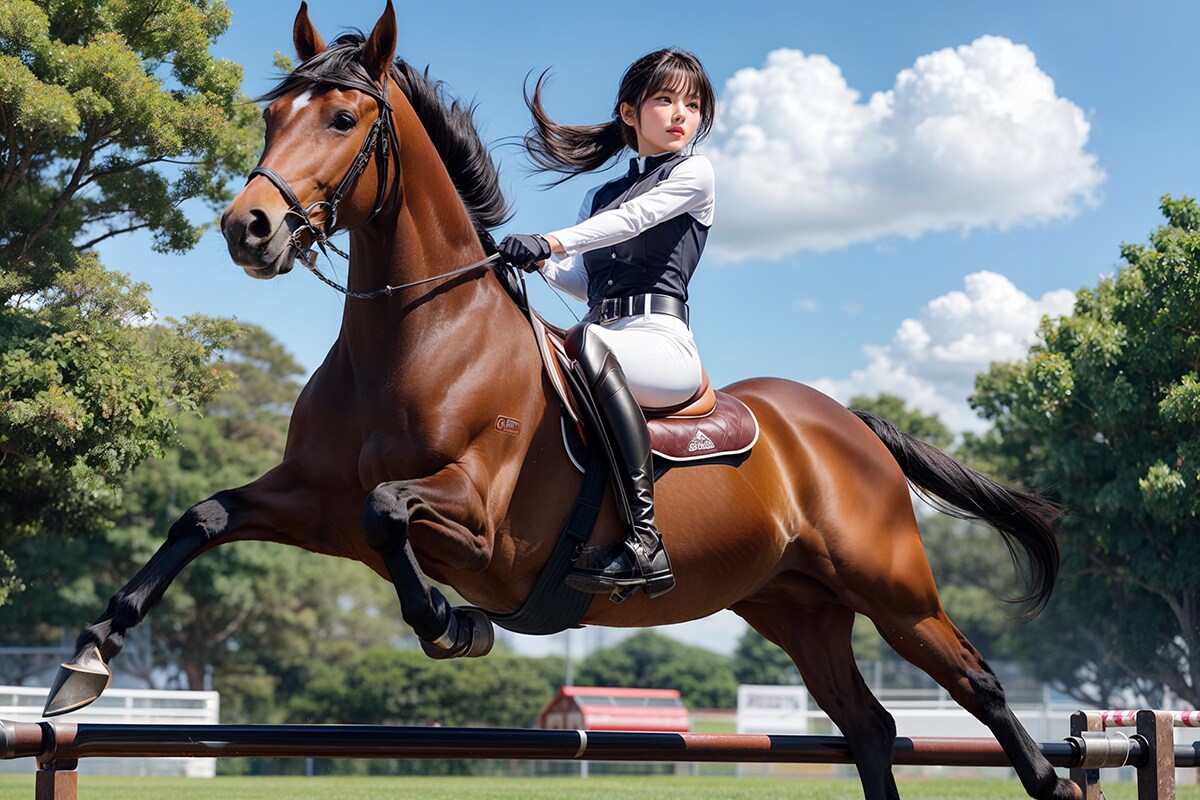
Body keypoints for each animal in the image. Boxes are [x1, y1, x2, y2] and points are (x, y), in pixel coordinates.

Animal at [42, 4, 1080, 799]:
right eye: (271, 118)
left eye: (341, 119)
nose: (248, 229)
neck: (416, 339)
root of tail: (844, 423)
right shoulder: (315, 504)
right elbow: (207, 515)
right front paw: (85, 662)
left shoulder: (481, 524)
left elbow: (391, 510)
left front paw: (454, 624)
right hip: (798, 607)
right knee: (867, 727)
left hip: (894, 589)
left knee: (981, 688)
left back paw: (1056, 777)